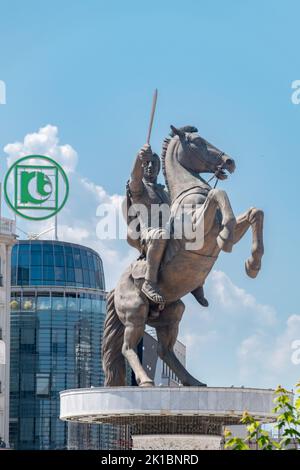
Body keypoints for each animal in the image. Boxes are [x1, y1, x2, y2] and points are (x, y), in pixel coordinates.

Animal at [102, 125, 264, 386]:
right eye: (198, 142)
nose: (229, 162)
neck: (190, 193)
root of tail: (115, 289)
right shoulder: (197, 228)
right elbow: (219, 193)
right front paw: (227, 236)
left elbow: (254, 213)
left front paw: (252, 264)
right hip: (135, 312)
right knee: (128, 348)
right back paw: (146, 381)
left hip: (172, 313)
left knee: (164, 350)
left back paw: (193, 381)